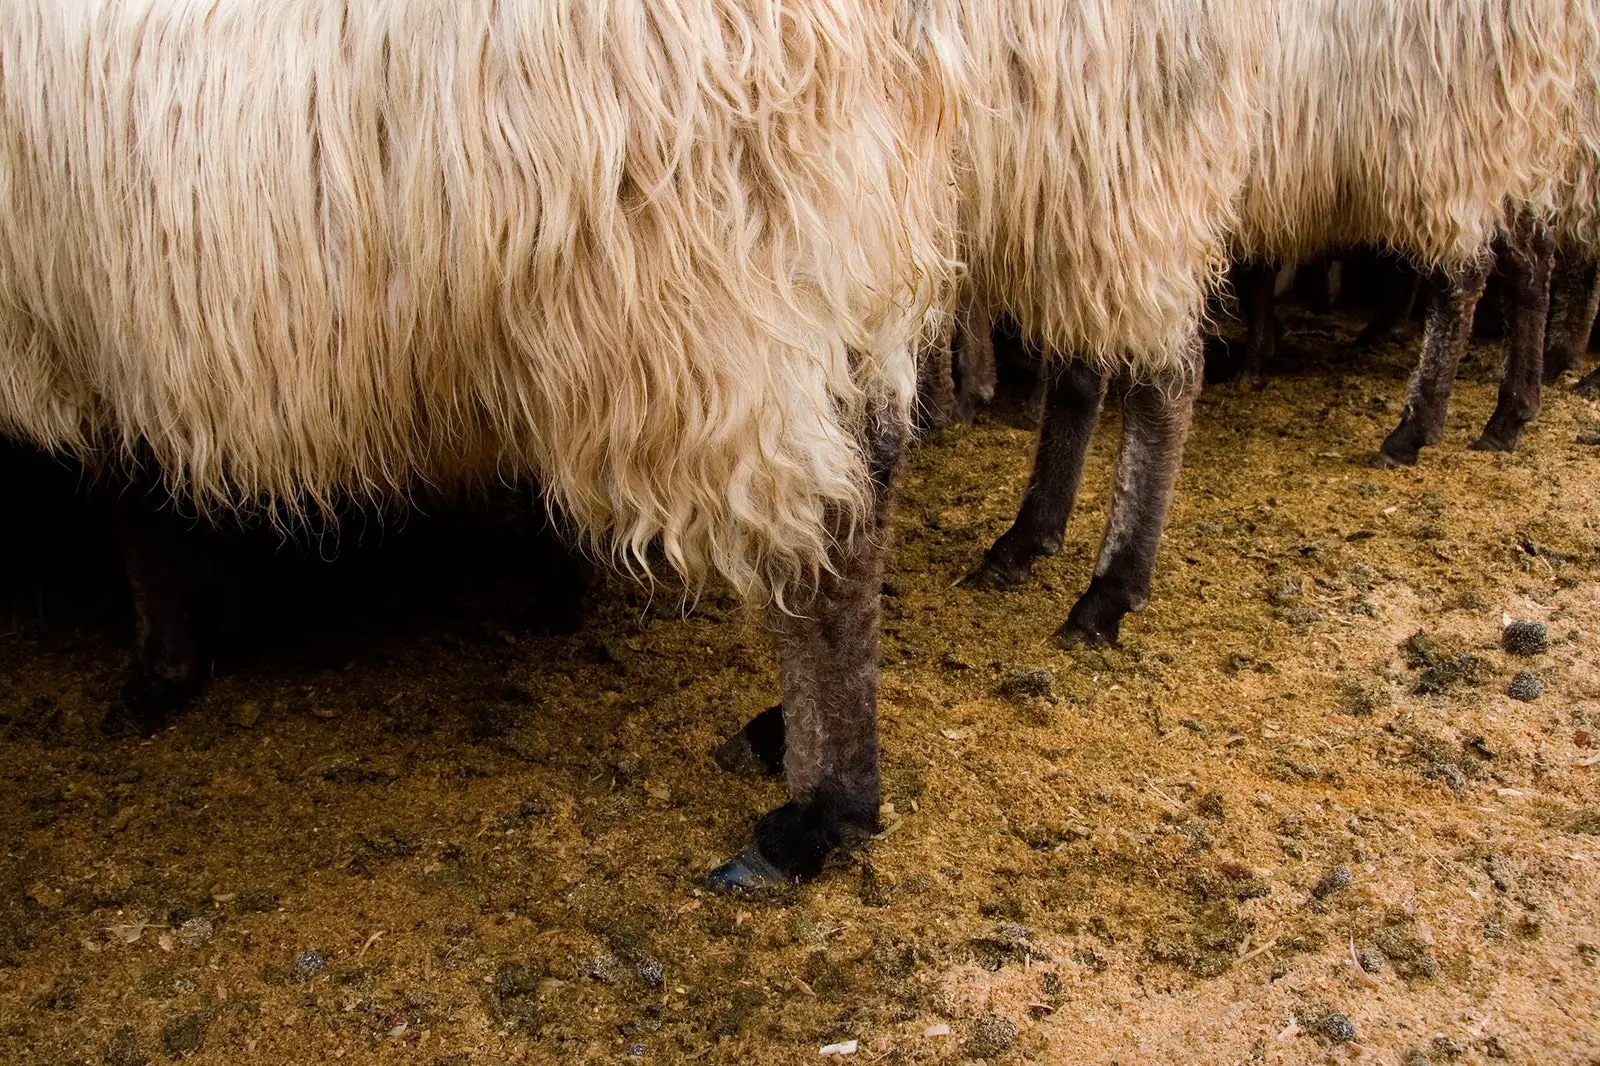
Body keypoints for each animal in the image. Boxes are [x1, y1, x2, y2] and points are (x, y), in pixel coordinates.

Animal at [0, 0, 960, 889]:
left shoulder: (86, 331)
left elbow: (133, 508)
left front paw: (160, 674)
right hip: (836, 248)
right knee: (862, 475)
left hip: (719, 276)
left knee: (831, 532)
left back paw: (818, 814)